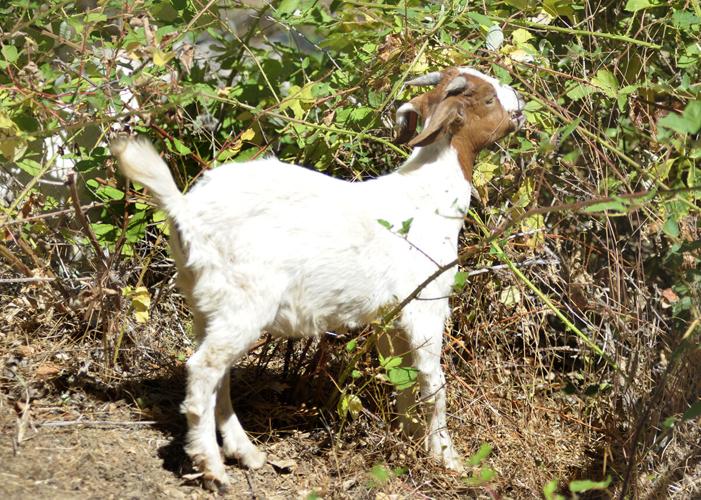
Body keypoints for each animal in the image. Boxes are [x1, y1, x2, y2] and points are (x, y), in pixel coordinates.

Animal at [111, 67, 525, 489]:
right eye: (488, 99)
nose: (519, 103)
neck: (427, 199)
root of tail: (186, 211)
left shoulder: (393, 316)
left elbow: (406, 380)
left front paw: (411, 440)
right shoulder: (427, 304)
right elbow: (434, 382)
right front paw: (447, 458)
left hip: (205, 303)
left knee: (218, 375)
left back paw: (246, 452)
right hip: (243, 300)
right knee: (203, 369)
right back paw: (212, 466)